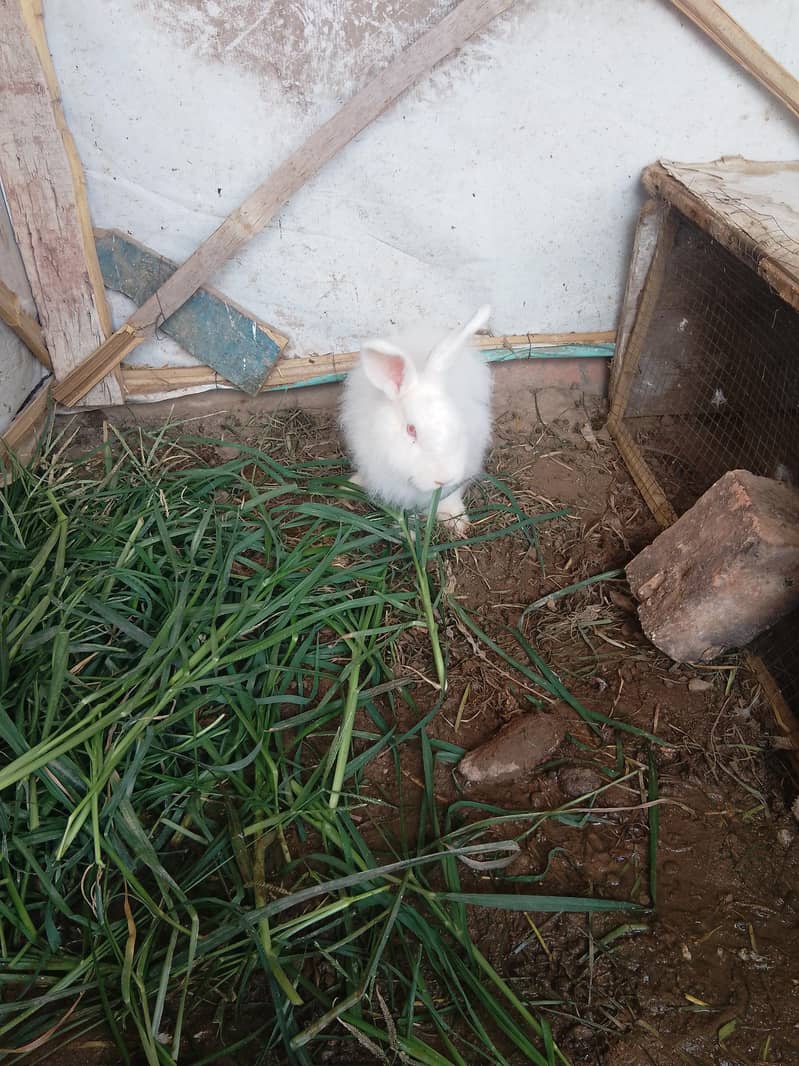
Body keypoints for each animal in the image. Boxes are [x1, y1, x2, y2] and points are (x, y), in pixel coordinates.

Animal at [339, 305, 493, 536]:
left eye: (456, 421)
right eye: (411, 430)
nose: (443, 478)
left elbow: (449, 499)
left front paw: (456, 522)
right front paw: (406, 533)